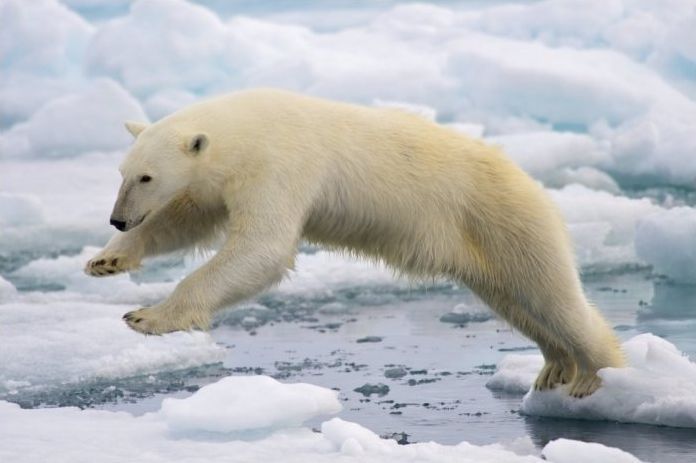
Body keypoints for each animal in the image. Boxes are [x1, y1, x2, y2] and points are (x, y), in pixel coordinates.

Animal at [85, 89, 624, 396]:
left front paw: (147, 316)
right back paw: (554, 366)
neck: (247, 128)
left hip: (503, 218)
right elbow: (186, 219)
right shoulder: (221, 181)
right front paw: (106, 260)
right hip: (482, 247)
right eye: (123, 173)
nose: (117, 218)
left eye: (147, 176)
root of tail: (529, 181)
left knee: (551, 295)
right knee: (515, 301)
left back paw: (595, 375)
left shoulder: (280, 165)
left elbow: (262, 247)